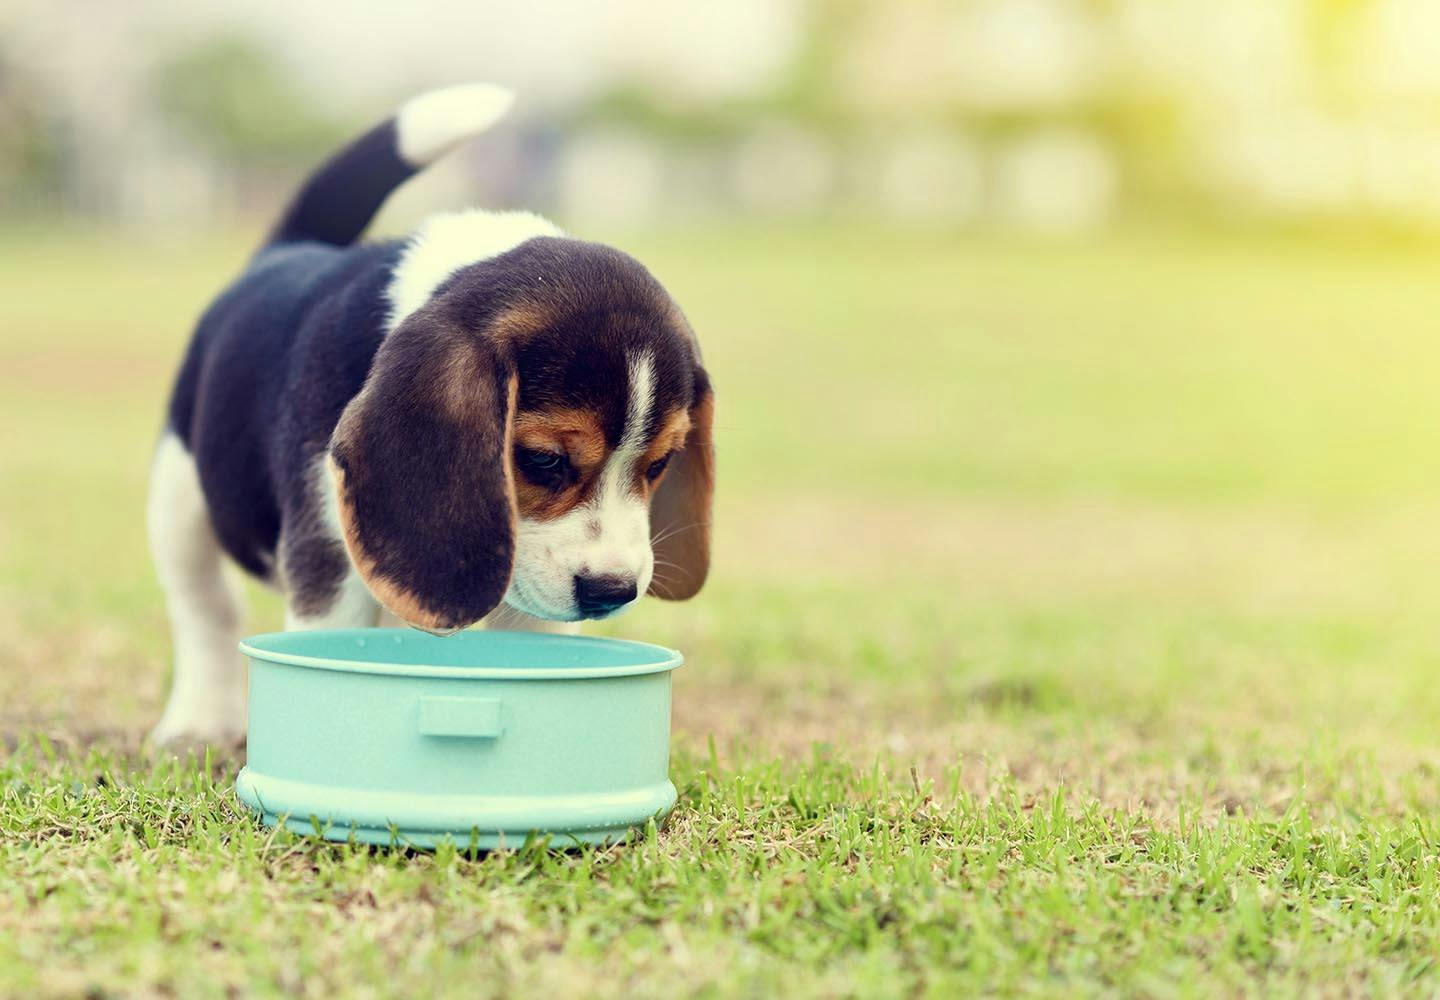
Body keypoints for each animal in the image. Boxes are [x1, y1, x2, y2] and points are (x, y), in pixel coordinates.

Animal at [149, 84, 711, 743]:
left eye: (661, 464)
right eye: (543, 460)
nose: (611, 590)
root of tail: (285, 249)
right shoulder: (326, 562)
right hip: (178, 497)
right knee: (206, 608)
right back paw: (198, 721)